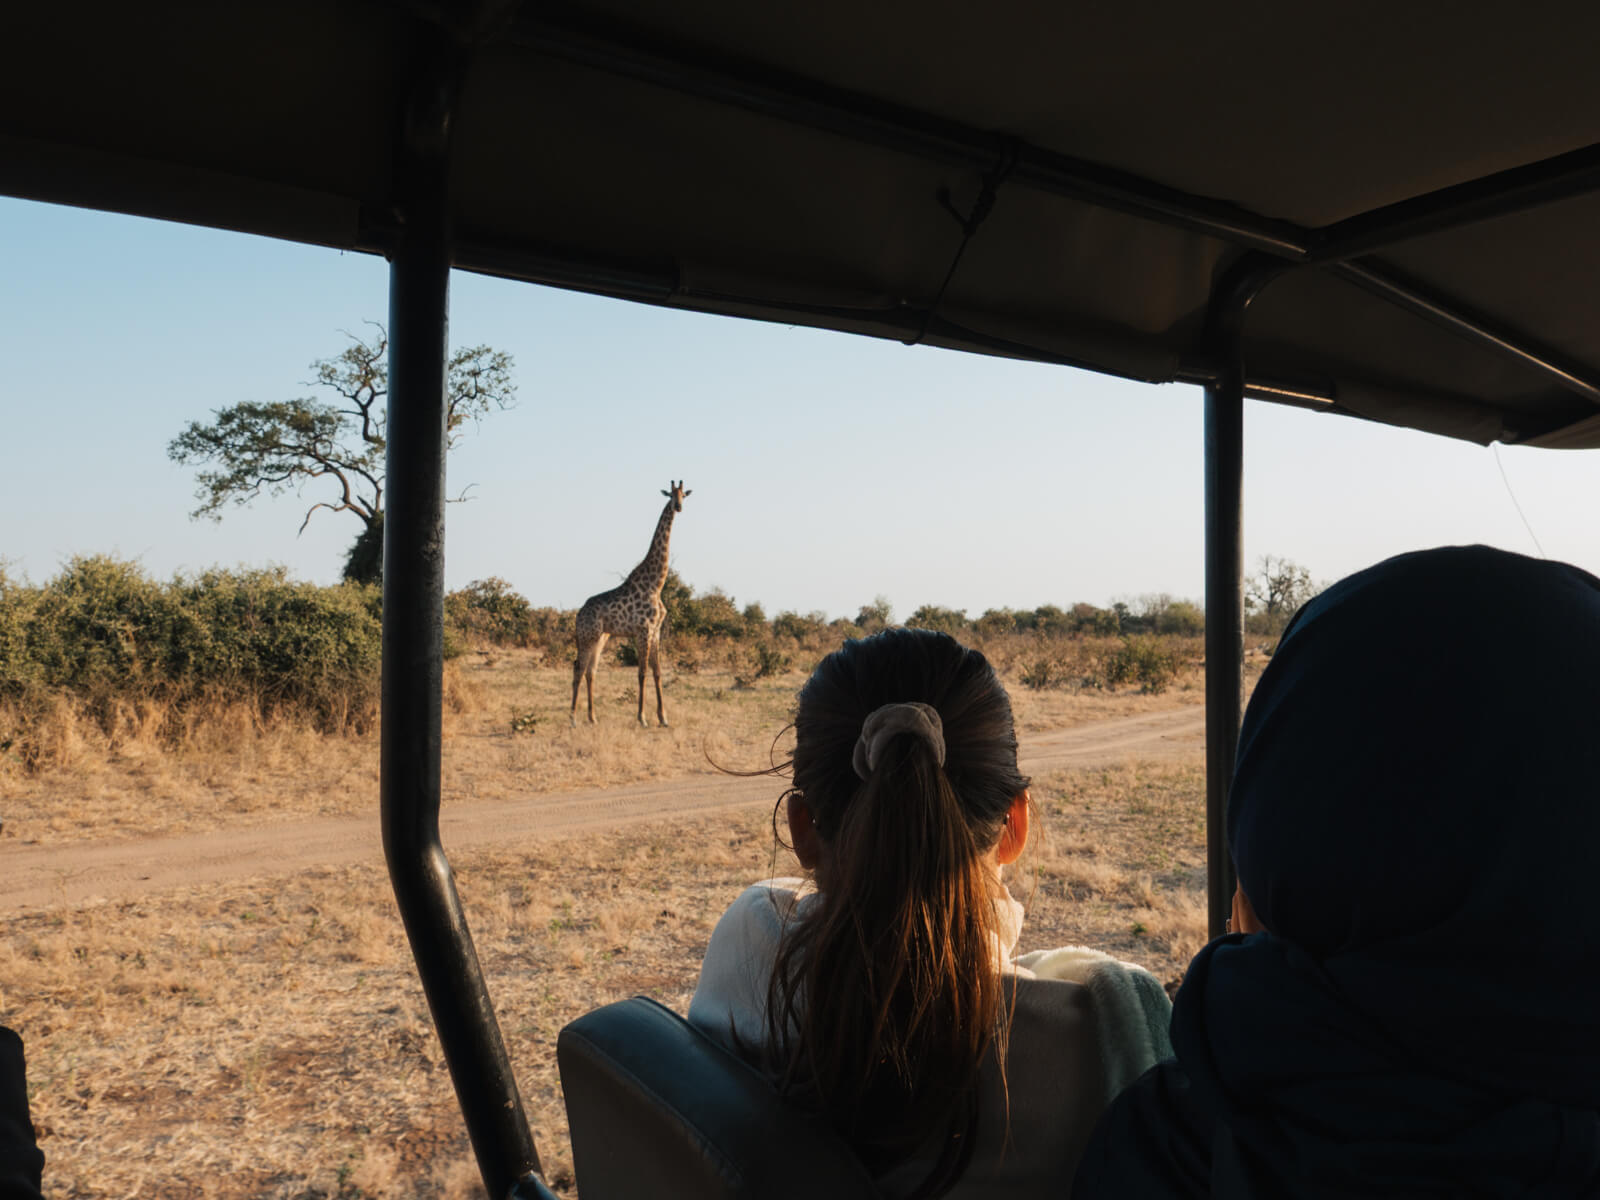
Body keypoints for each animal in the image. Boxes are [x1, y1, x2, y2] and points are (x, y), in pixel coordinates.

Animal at [570, 481, 691, 727]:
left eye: (684, 494)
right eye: (671, 495)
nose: (678, 507)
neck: (656, 584)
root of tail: (579, 614)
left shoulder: (655, 631)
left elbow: (657, 672)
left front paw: (663, 718)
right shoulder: (643, 630)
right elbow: (642, 672)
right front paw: (642, 718)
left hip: (601, 637)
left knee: (590, 671)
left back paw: (593, 718)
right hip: (587, 636)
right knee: (578, 667)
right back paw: (573, 719)